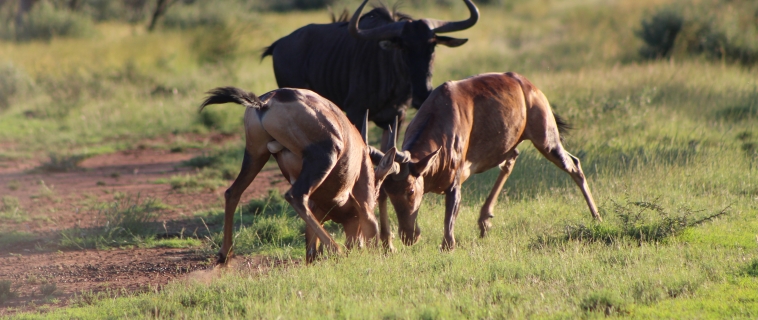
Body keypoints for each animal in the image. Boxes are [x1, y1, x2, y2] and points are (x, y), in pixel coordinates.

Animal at [202, 87, 400, 262]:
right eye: (376, 196)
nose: (356, 245)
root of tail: (266, 102)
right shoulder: (361, 206)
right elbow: (371, 226)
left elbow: (311, 250)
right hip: (324, 156)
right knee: (295, 196)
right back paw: (337, 251)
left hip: (256, 154)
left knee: (233, 192)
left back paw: (224, 255)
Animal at [372, 72, 604, 250]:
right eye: (389, 192)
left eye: (411, 190)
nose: (408, 236)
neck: (442, 111)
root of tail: (527, 84)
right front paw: (387, 245)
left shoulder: (455, 183)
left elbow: (449, 229)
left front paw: (448, 245)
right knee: (512, 158)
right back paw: (484, 222)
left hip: (547, 139)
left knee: (574, 165)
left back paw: (597, 218)